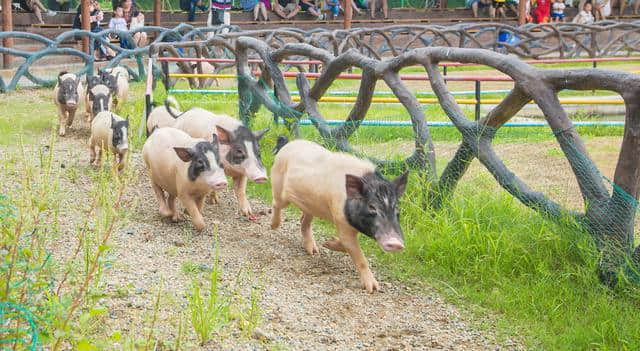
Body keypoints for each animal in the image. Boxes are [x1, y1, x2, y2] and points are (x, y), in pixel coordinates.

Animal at [268, 139, 408, 292]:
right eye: (372, 207)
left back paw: (314, 251)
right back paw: (274, 226)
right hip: (279, 185)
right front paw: (373, 288)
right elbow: (358, 255)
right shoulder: (341, 220)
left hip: (311, 205)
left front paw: (327, 243)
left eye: (397, 209)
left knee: (304, 221)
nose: (396, 243)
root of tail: (288, 144)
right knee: (276, 204)